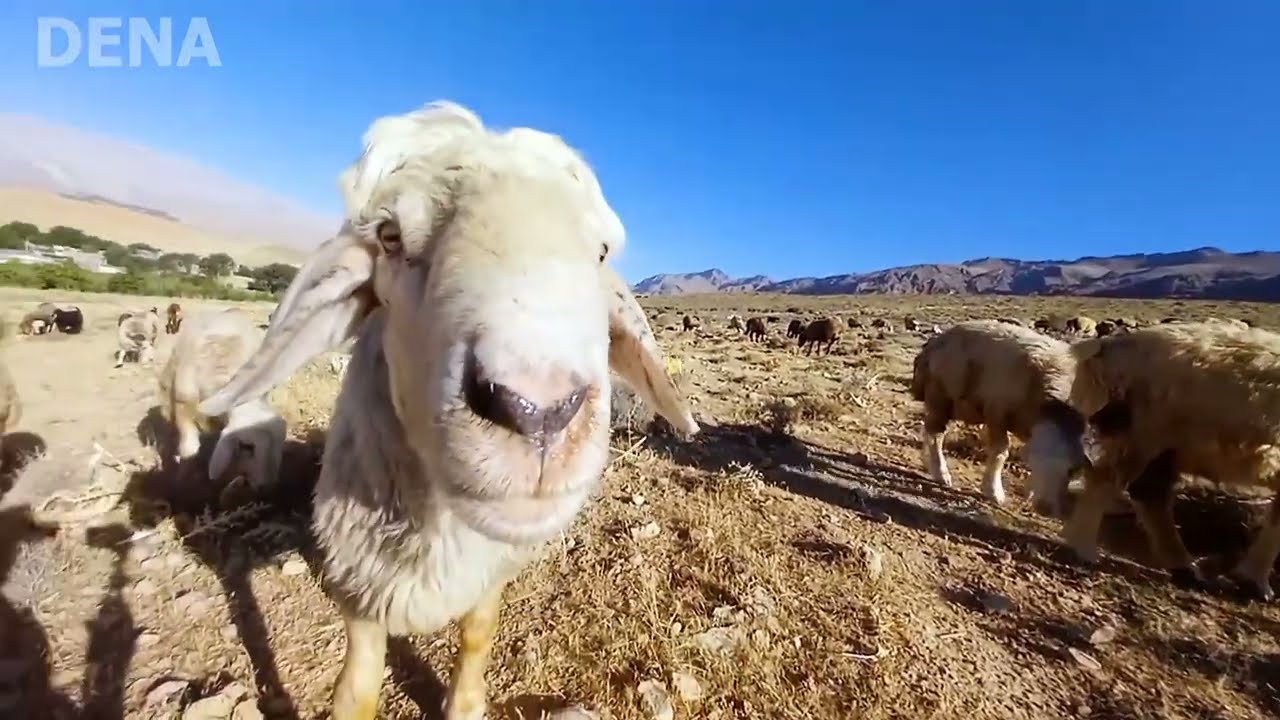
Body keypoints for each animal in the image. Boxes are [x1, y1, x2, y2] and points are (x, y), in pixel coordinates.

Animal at [156, 307, 285, 492]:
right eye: (247, 446)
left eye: (282, 443)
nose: (267, 487)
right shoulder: (184, 405)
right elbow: (189, 449)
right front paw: (182, 482)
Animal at [193, 100, 701, 720]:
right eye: (390, 237)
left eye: (601, 253)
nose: (537, 409)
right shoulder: (362, 576)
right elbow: (357, 685)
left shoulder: (491, 566)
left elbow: (478, 632)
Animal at [911, 319, 1084, 506]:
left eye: (1071, 472)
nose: (1045, 506)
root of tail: (936, 342)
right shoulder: (997, 412)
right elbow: (1000, 453)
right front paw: (994, 492)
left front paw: (1028, 492)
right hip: (941, 395)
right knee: (936, 434)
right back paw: (941, 474)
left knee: (928, 428)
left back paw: (926, 462)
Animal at [1025, 320, 1280, 601]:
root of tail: (1110, 345)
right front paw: (1253, 580)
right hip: (1142, 432)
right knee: (1114, 483)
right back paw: (1085, 548)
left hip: (1160, 443)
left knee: (1147, 494)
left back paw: (1187, 569)